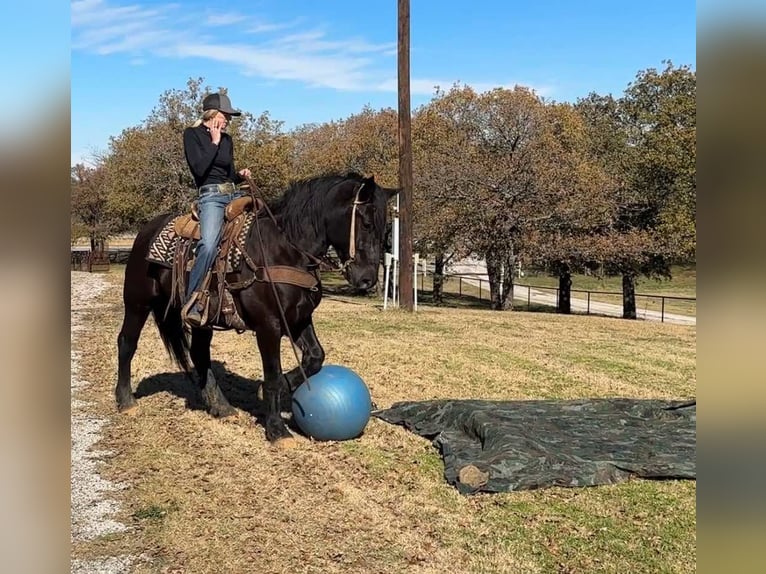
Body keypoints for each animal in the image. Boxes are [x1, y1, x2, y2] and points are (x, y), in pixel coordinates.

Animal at [115, 173, 397, 447]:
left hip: (203, 319)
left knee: (199, 353)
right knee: (127, 342)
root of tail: (146, 231)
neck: (286, 250)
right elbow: (272, 375)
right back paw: (125, 401)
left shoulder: (299, 319)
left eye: (385, 228)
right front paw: (277, 429)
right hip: (137, 302)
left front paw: (279, 389)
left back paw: (221, 406)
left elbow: (315, 357)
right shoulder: (268, 326)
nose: (367, 279)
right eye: (367, 223)